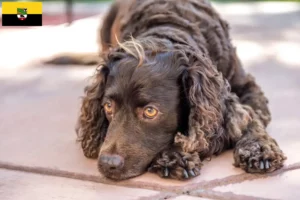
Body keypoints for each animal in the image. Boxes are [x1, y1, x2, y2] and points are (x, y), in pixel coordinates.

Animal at [45, 0, 284, 180]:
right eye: (108, 107)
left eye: (150, 111)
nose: (107, 164)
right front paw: (174, 156)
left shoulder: (247, 88)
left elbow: (252, 118)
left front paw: (259, 149)